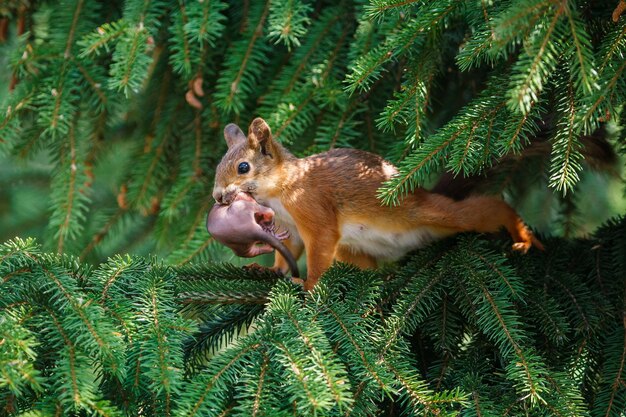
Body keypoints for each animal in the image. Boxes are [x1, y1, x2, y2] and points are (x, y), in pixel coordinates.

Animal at [211, 118, 540, 290]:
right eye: (218, 165)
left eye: (243, 167)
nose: (217, 196)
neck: (281, 191)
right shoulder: (287, 226)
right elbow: (287, 250)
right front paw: (270, 271)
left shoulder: (312, 207)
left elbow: (320, 243)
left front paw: (309, 284)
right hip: (353, 250)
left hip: (428, 213)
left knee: (486, 210)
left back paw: (523, 236)